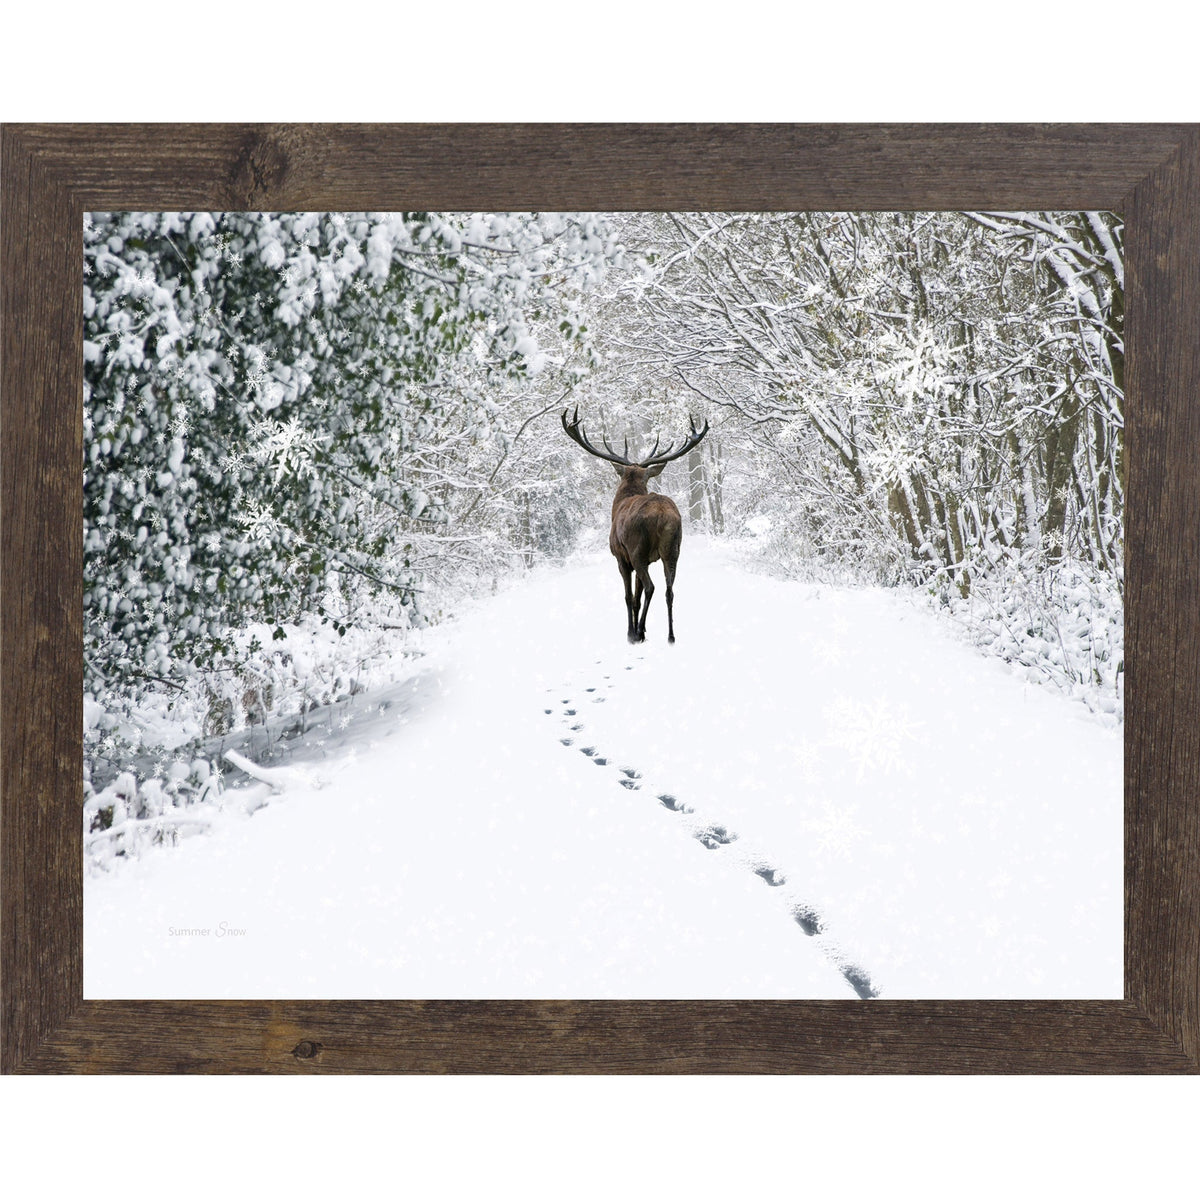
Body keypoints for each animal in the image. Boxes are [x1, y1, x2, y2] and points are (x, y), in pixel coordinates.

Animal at [561, 407, 710, 644]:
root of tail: (663, 515)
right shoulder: (649, 559)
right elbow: (637, 597)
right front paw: (644, 629)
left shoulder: (621, 557)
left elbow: (629, 596)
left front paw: (631, 632)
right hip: (673, 549)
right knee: (669, 589)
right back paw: (670, 636)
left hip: (637, 549)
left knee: (651, 587)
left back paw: (637, 632)